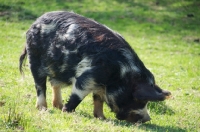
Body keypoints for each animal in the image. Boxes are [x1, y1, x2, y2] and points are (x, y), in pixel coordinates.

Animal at [19, 10, 171, 123]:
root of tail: (34, 24)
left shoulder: (99, 84)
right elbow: (78, 95)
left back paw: (58, 106)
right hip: (34, 60)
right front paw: (67, 112)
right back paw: (43, 109)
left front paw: (102, 118)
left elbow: (98, 100)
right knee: (40, 86)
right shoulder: (87, 76)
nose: (147, 119)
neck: (121, 74)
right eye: (140, 99)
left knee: (54, 83)